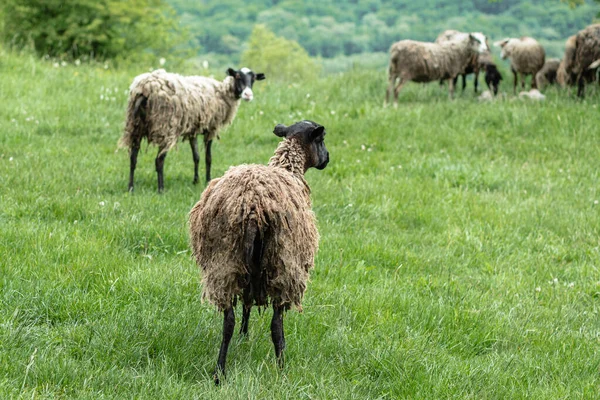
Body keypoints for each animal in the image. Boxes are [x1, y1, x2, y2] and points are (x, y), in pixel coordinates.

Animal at [118, 67, 264, 192]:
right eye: (238, 76)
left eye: (253, 78)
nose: (248, 95)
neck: (222, 92)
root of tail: (145, 88)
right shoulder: (211, 128)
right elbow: (208, 157)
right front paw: (208, 180)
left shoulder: (193, 130)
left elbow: (196, 156)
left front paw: (196, 181)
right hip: (165, 126)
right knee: (159, 160)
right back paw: (161, 189)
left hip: (135, 126)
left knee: (133, 158)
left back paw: (130, 188)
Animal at [189, 119, 330, 384]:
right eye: (322, 140)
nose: (327, 159)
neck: (288, 168)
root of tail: (253, 207)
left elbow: (246, 305)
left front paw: (244, 336)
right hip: (282, 264)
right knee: (276, 324)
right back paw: (282, 368)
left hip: (226, 263)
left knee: (228, 321)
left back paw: (219, 372)